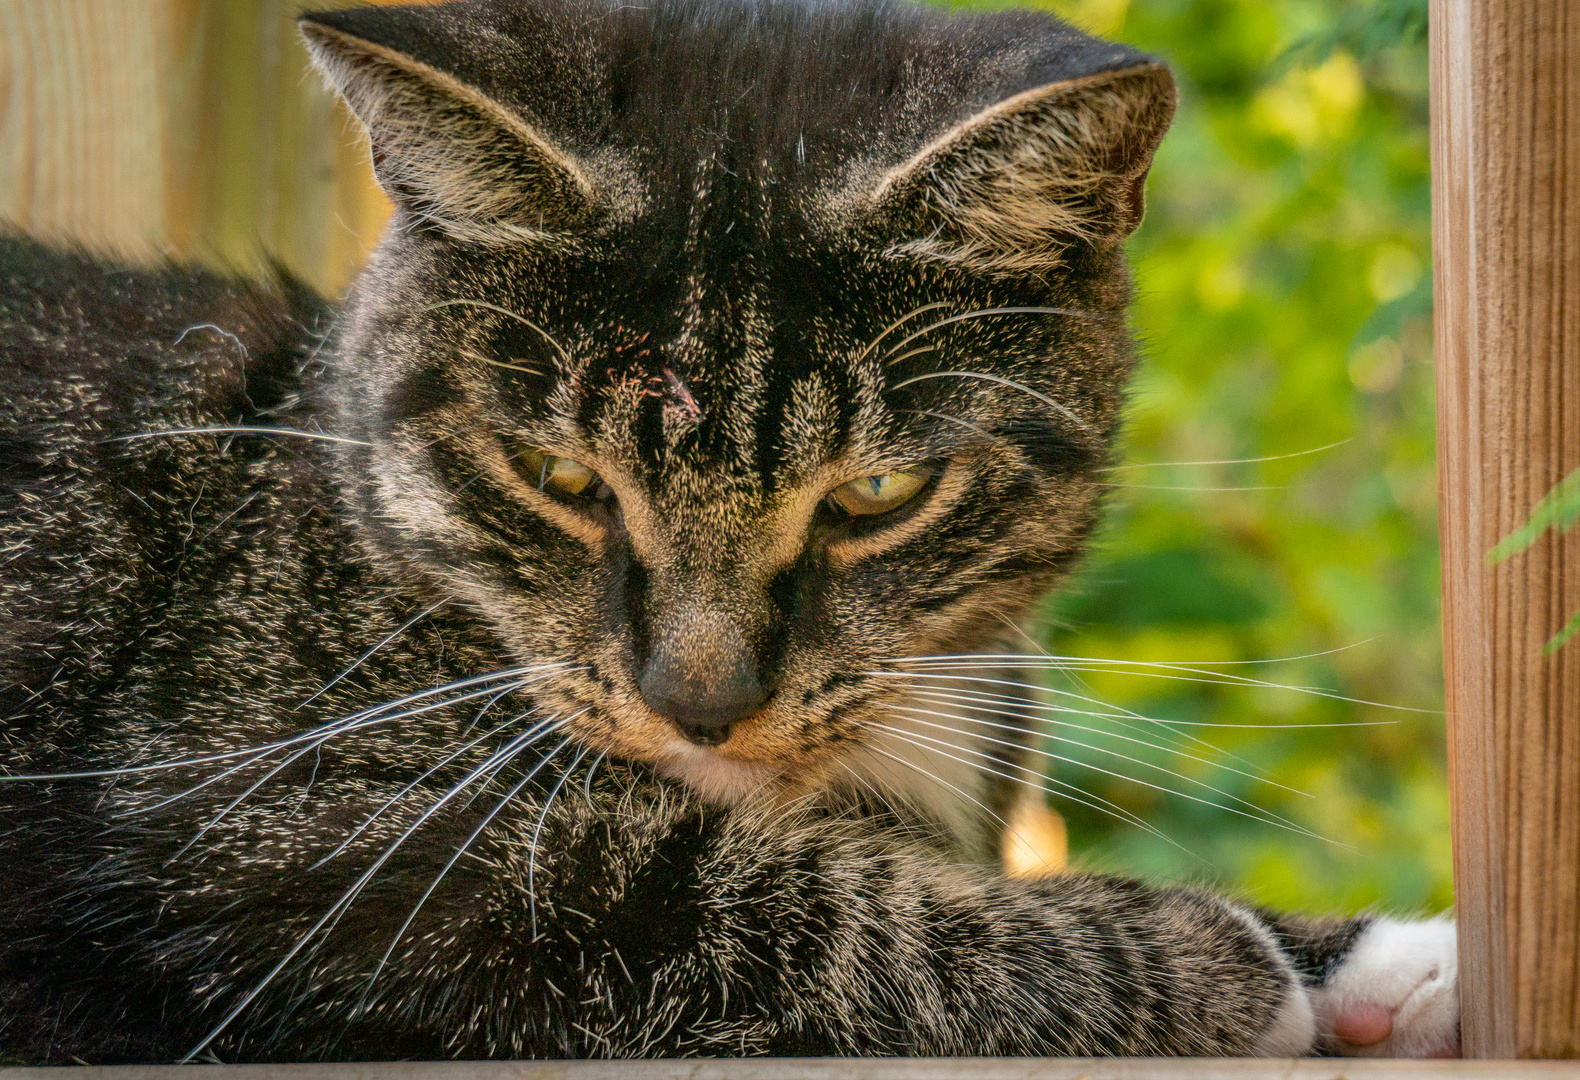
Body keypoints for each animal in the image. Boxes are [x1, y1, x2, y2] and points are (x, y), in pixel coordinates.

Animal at [0, 0, 1453, 1061]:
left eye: (875, 496)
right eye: (557, 476)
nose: (699, 705)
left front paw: (1388, 959)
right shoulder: (274, 824)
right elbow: (724, 899)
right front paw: (1222, 960)